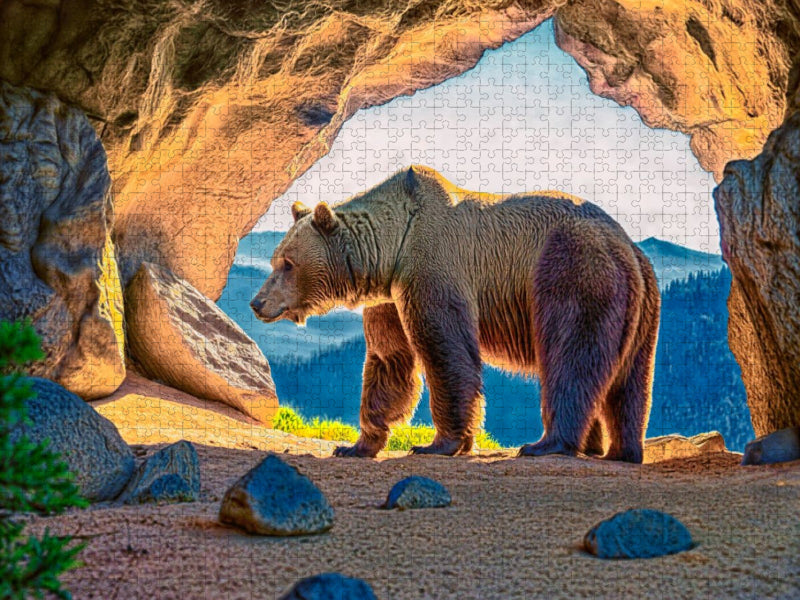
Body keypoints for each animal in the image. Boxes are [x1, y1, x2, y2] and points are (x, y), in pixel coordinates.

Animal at [250, 166, 660, 463]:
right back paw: (620, 450)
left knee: (571, 356)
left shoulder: (433, 267)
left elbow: (445, 350)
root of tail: (627, 246)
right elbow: (389, 360)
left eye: (287, 263)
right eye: (275, 260)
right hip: (642, 308)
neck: (391, 248)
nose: (257, 302)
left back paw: (547, 443)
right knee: (630, 382)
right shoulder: (389, 298)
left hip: (573, 271)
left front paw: (440, 442)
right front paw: (356, 445)